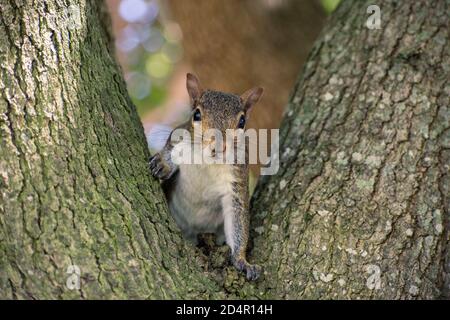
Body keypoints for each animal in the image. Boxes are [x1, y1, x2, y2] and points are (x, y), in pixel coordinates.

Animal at [149, 73, 264, 280]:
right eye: (196, 114)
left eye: (242, 122)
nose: (219, 145)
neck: (207, 162)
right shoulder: (179, 136)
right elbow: (170, 149)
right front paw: (163, 163)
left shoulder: (236, 181)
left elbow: (238, 219)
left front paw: (242, 260)